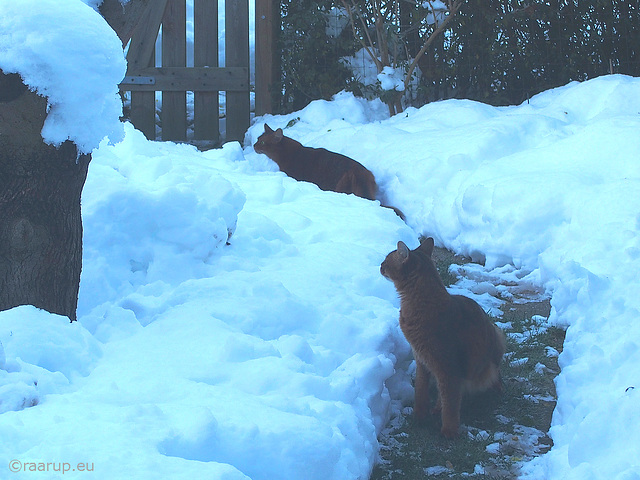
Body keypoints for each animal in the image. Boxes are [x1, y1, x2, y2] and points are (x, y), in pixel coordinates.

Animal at [380, 237, 504, 438]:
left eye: (387, 260)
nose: (380, 266)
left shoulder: (447, 365)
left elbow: (451, 404)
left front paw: (448, 432)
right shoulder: (422, 360)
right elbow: (421, 392)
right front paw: (419, 417)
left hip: (493, 348)